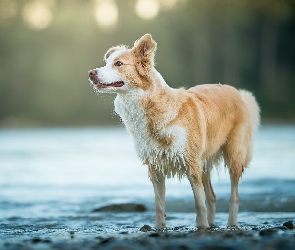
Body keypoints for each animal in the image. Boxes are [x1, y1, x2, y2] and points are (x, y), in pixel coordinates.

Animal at [88, 33, 262, 229]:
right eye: (107, 62)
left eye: (118, 63)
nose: (91, 73)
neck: (152, 106)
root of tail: (237, 92)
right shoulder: (155, 168)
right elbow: (159, 205)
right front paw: (160, 228)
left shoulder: (191, 164)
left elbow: (199, 204)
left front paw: (201, 227)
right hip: (204, 162)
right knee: (212, 197)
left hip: (233, 155)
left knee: (234, 195)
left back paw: (231, 223)